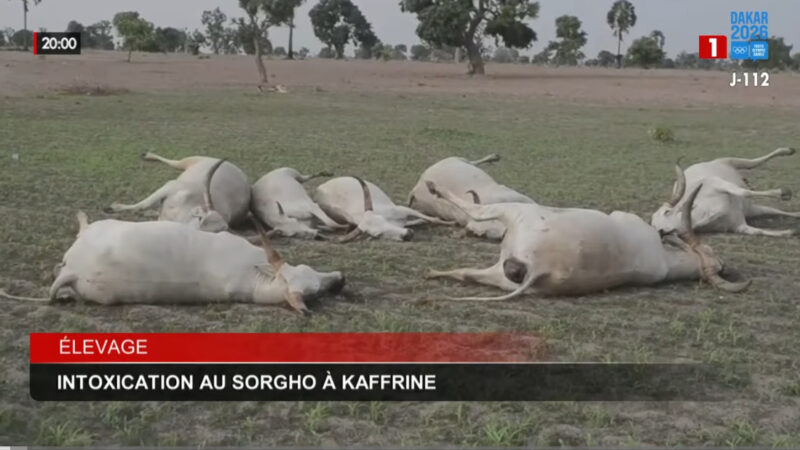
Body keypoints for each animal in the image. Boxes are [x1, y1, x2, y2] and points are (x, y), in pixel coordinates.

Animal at [105, 152, 251, 232]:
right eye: (200, 219)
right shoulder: (170, 186)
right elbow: (143, 204)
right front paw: (113, 207)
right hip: (191, 160)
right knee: (175, 162)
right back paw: (147, 155)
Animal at [314, 176, 453, 242]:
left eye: (383, 220)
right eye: (378, 235)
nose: (408, 235)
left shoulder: (402, 209)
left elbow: (432, 219)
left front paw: (450, 222)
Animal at [407, 154, 536, 240]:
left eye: (493, 218)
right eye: (482, 234)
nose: (504, 235)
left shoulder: (514, 195)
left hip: (458, 159)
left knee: (472, 162)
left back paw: (493, 157)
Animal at [424, 180, 749, 300]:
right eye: (710, 250)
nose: (726, 266)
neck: (665, 261)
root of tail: (540, 268)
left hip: (516, 214)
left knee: (475, 212)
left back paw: (434, 188)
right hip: (499, 274)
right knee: (466, 273)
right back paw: (432, 273)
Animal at [651, 147, 799, 237]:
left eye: (667, 212)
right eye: (654, 227)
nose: (662, 232)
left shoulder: (716, 183)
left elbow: (744, 192)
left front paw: (783, 192)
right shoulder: (739, 226)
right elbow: (759, 231)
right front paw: (789, 231)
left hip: (732, 160)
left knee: (755, 162)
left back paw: (788, 151)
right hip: (751, 210)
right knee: (772, 210)